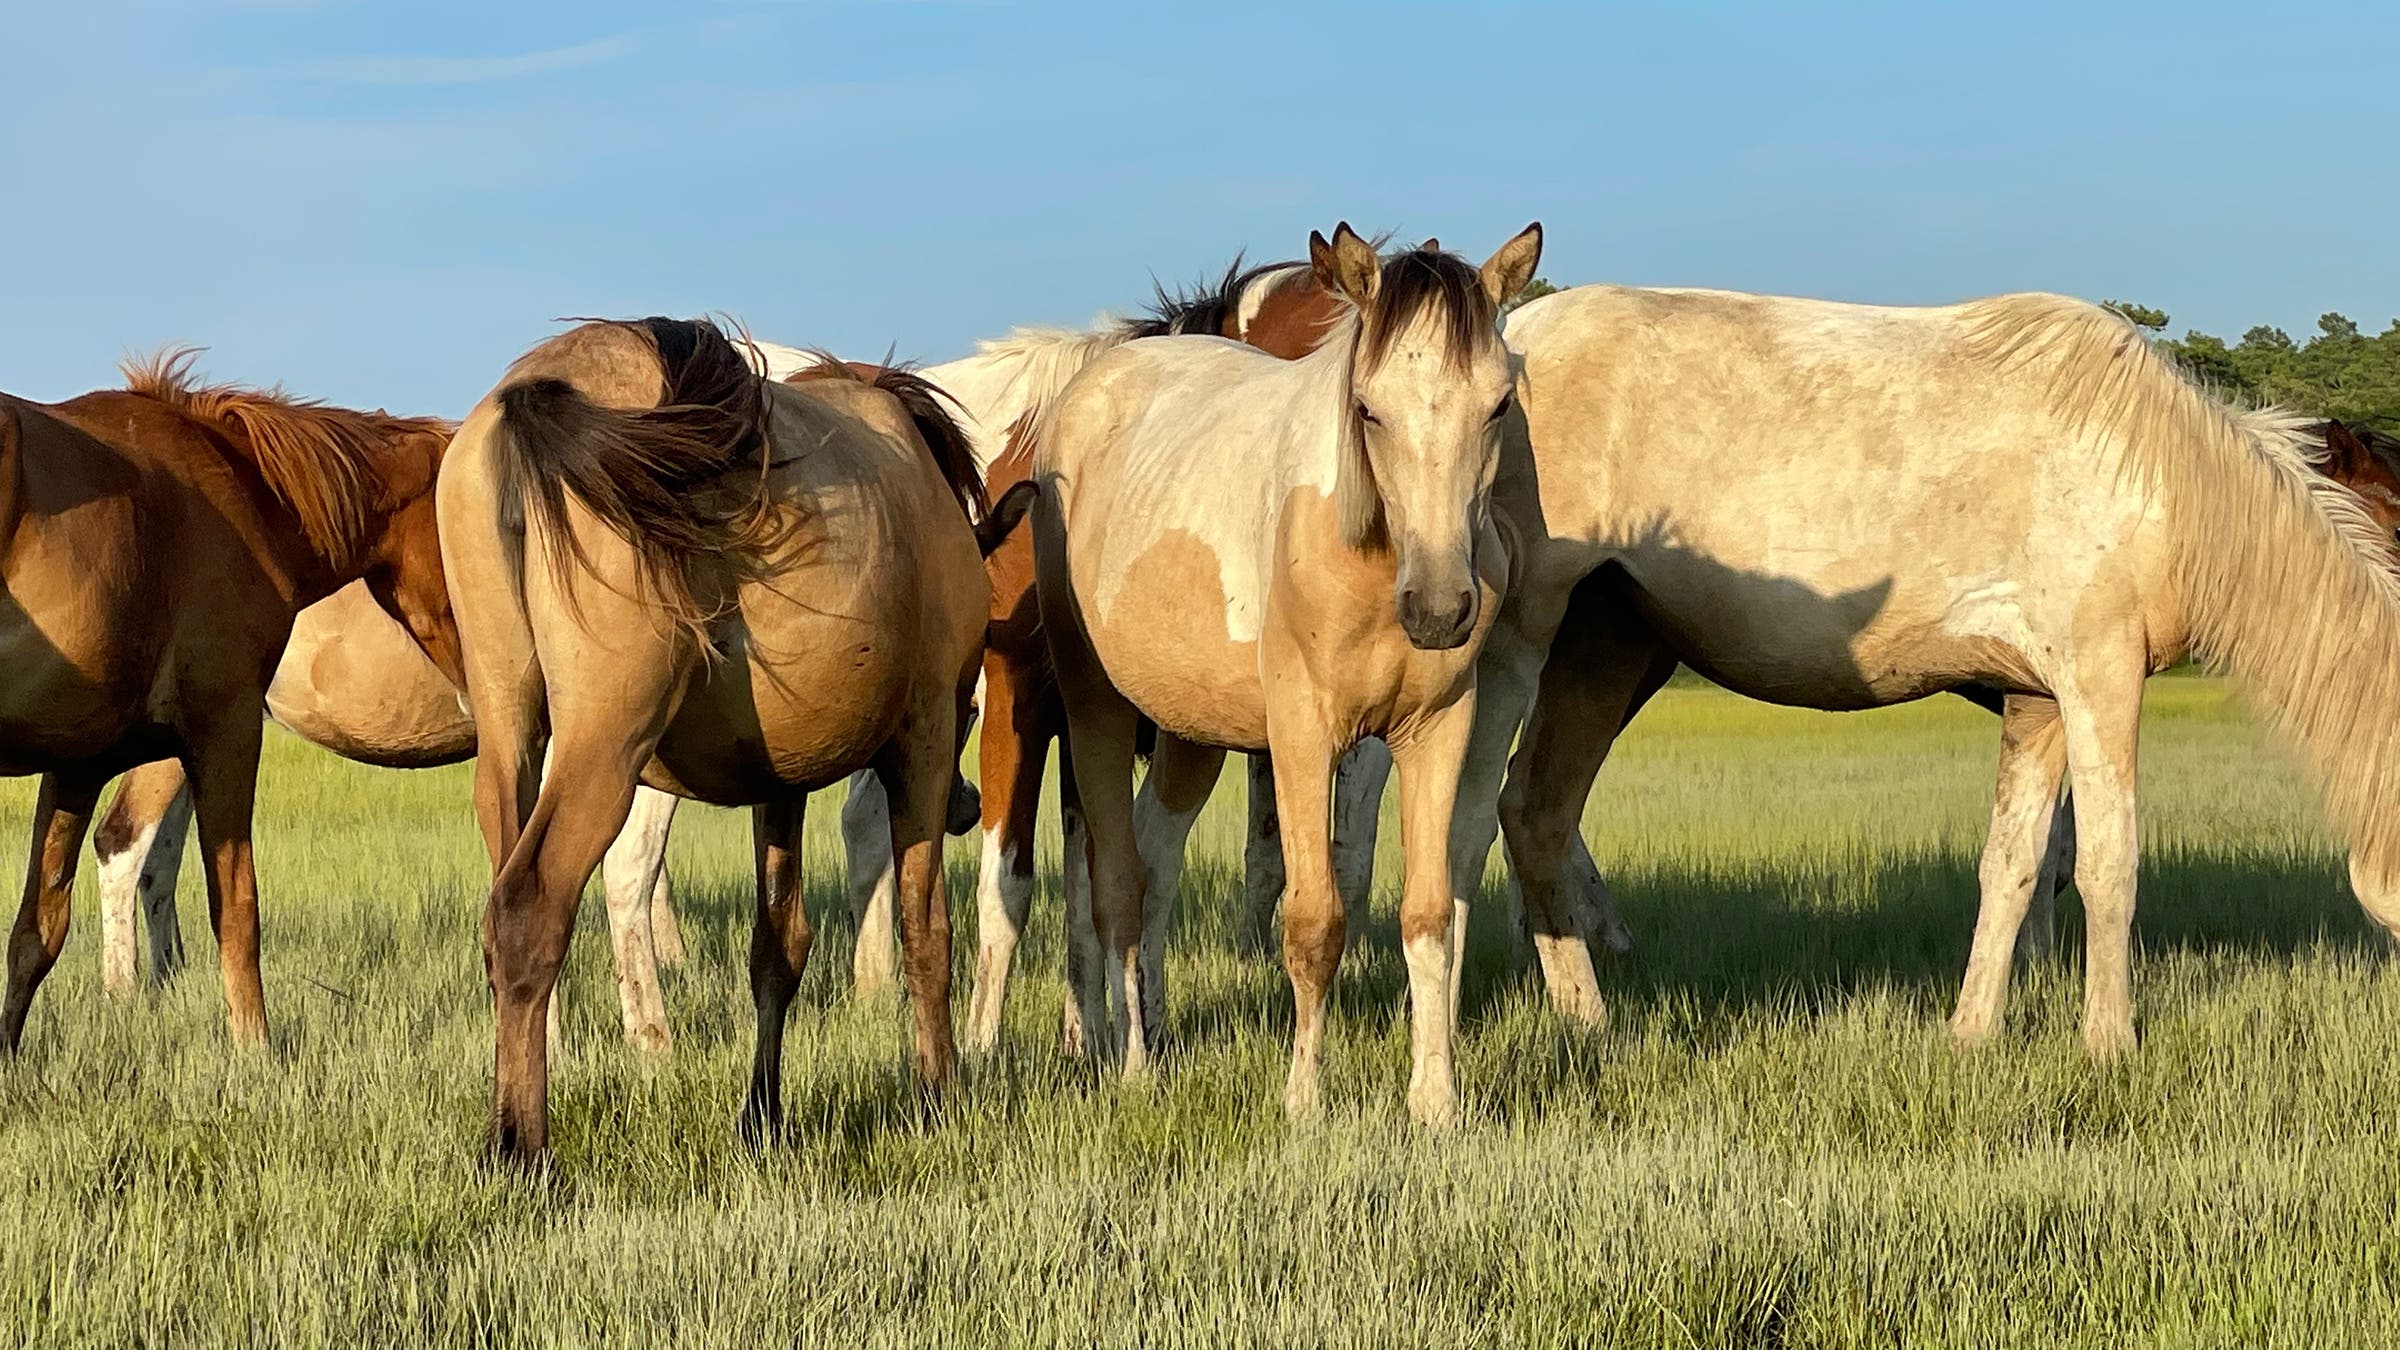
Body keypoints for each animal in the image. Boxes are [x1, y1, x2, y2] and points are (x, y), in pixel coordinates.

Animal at [87, 581, 693, 1055]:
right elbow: (625, 871)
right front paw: (638, 1042)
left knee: (158, 861)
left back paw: (167, 983)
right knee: (121, 840)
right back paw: (123, 997)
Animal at [438, 317, 990, 1160]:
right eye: (974, 712)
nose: (969, 805)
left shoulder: (782, 784)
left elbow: (779, 947)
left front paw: (762, 1116)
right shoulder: (925, 737)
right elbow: (926, 931)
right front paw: (939, 1099)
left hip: (510, 737)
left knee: (504, 918)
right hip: (603, 750)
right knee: (529, 911)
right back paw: (523, 1153)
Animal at [1034, 223, 1543, 1127]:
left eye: (1498, 406)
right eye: (1369, 407)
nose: (1440, 608)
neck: (1369, 556)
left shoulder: (1436, 732)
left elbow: (1427, 919)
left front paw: (1436, 1105)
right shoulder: (1302, 736)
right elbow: (1313, 924)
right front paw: (1304, 1102)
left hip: (1190, 732)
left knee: (1156, 863)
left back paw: (1154, 1032)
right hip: (1094, 708)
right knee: (1116, 881)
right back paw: (1130, 1065)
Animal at [1451, 285, 2400, 1059]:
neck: (2159, 475)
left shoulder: (2037, 702)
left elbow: (2013, 865)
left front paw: (1972, 1033)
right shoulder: (2099, 677)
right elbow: (2109, 863)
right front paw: (2109, 1044)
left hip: (1610, 651)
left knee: (1536, 814)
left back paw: (1588, 1023)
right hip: (1524, 643)